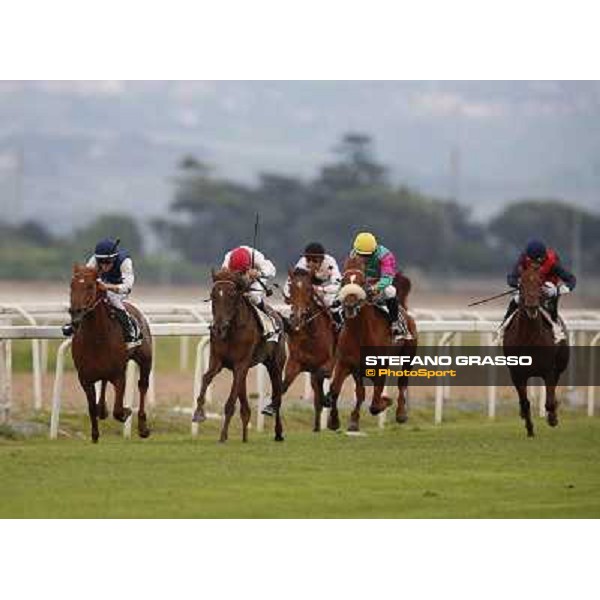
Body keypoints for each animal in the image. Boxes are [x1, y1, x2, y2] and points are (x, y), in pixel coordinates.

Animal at [69, 264, 154, 442]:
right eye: (71, 286)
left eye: (90, 286)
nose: (76, 314)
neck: (96, 338)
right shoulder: (84, 378)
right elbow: (91, 408)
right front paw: (95, 434)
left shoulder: (119, 375)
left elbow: (119, 410)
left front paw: (127, 411)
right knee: (103, 384)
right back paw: (103, 409)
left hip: (145, 359)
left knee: (143, 385)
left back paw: (143, 427)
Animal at [192, 270, 286, 442]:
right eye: (213, 295)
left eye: (232, 295)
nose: (219, 328)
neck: (232, 330)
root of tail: (277, 315)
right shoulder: (217, 361)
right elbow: (206, 378)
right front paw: (199, 413)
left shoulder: (241, 364)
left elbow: (230, 402)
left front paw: (223, 435)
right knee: (245, 404)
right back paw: (245, 436)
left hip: (275, 364)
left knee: (277, 394)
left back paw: (277, 430)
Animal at [282, 268, 338, 432]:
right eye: (291, 288)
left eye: (309, 289)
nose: (298, 316)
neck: (311, 333)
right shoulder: (294, 362)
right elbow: (284, 385)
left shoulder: (329, 364)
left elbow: (321, 376)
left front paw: (326, 399)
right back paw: (317, 427)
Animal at [326, 256, 420, 432]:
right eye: (344, 281)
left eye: (362, 282)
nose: (349, 305)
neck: (360, 334)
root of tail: (405, 311)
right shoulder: (346, 363)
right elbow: (336, 390)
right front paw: (335, 421)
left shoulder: (380, 367)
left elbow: (375, 404)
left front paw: (387, 400)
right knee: (360, 392)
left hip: (408, 355)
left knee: (402, 383)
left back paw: (401, 413)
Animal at [504, 262, 568, 436]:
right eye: (522, 284)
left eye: (540, 283)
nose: (532, 306)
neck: (529, 337)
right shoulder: (517, 373)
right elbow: (525, 402)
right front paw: (530, 429)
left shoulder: (549, 371)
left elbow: (549, 401)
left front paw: (552, 419)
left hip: (560, 366)